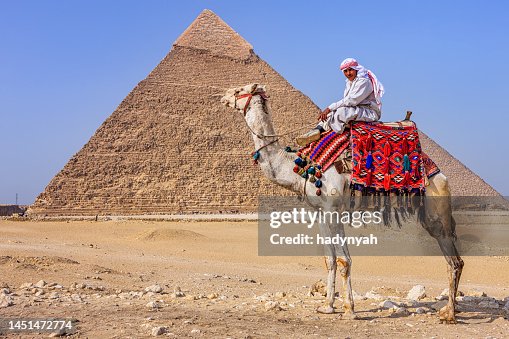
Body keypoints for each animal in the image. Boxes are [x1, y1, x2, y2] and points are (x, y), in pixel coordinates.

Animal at [220, 83, 462, 324]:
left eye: (239, 90)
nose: (222, 96)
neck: (299, 169)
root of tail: (441, 174)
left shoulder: (334, 209)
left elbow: (344, 260)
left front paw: (349, 309)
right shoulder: (320, 211)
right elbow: (330, 259)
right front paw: (327, 306)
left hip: (435, 207)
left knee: (453, 261)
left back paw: (449, 313)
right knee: (456, 260)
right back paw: (452, 310)